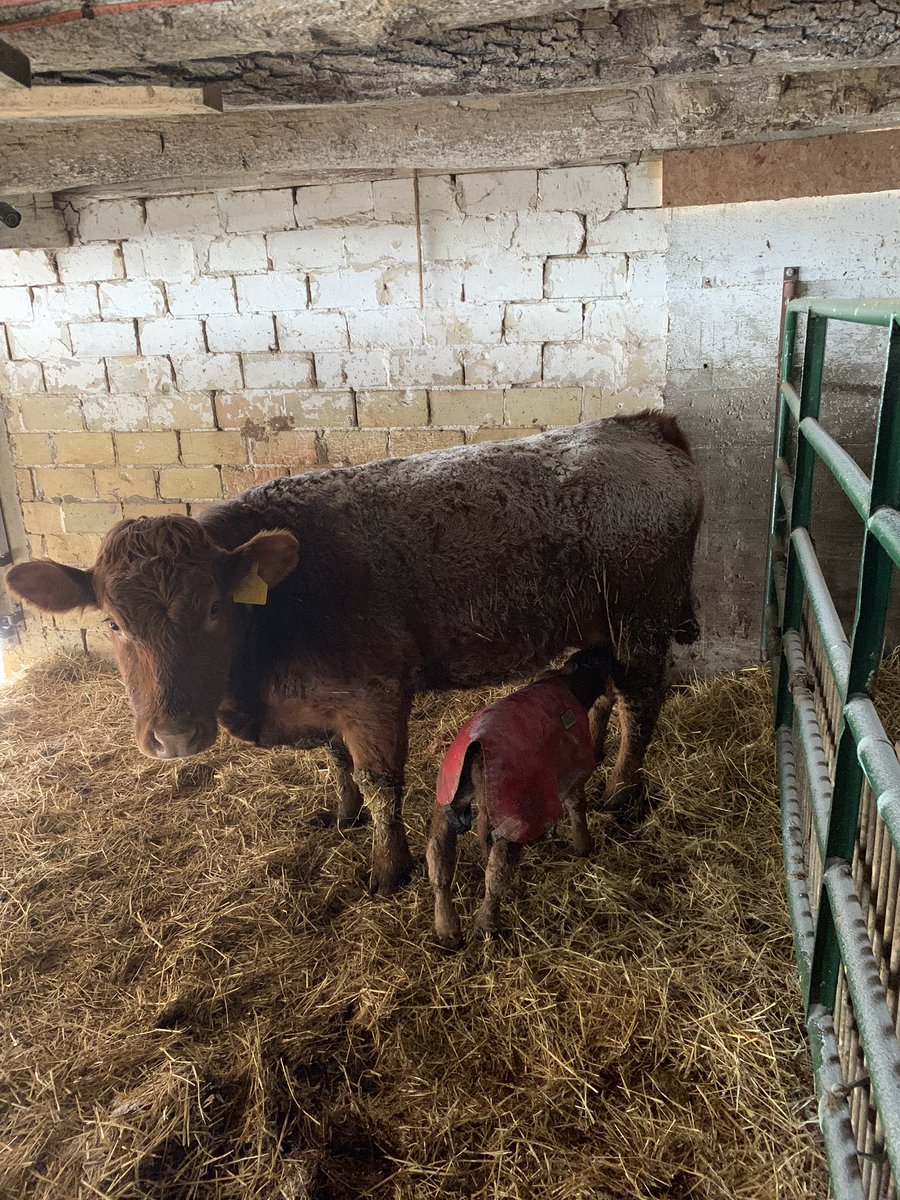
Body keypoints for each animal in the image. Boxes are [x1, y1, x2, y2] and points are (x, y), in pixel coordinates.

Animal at [7, 413, 702, 897]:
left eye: (214, 610)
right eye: (113, 622)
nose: (174, 736)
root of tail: (638, 424)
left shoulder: (373, 694)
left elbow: (380, 783)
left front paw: (388, 867)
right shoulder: (324, 698)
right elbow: (337, 761)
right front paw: (343, 816)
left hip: (642, 618)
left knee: (641, 703)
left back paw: (620, 793)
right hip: (598, 624)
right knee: (602, 691)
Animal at [428, 645, 614, 949]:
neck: (569, 682)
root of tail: (477, 754)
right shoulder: (572, 764)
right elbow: (576, 804)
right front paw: (583, 847)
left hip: (448, 795)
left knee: (439, 855)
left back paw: (448, 929)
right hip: (513, 810)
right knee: (496, 872)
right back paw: (487, 924)